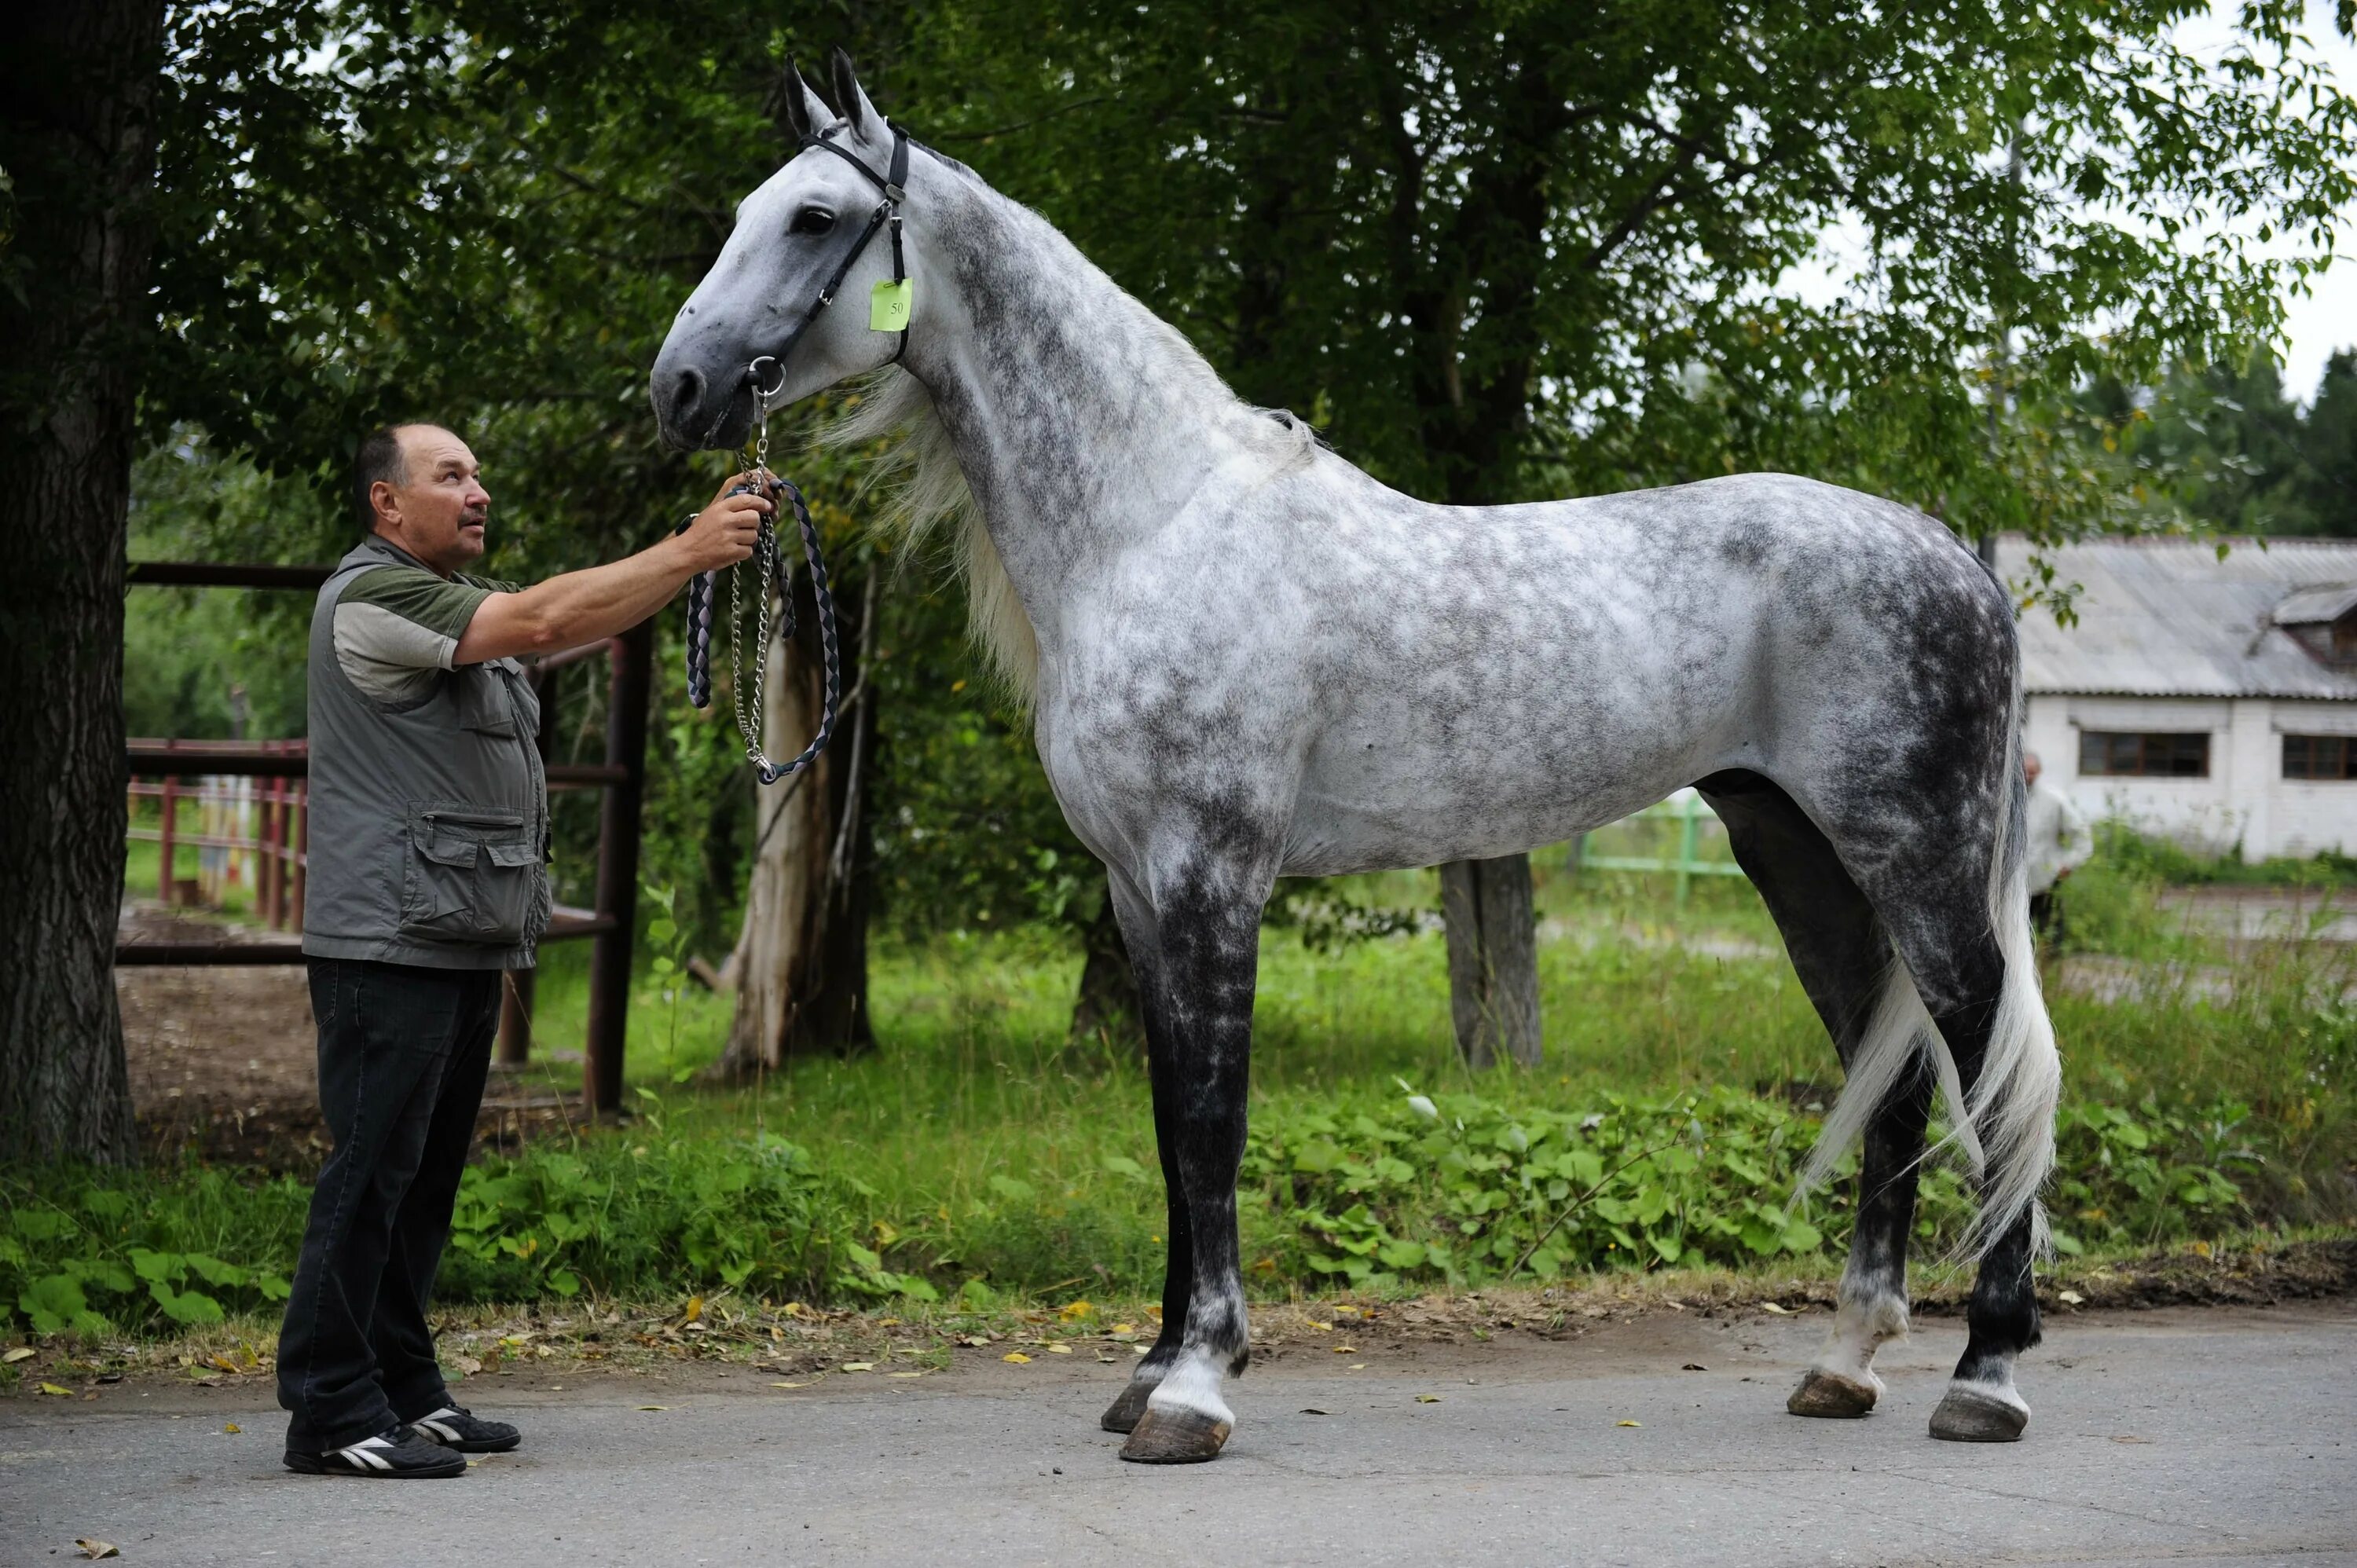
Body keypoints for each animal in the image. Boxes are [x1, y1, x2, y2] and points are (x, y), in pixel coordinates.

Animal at [655, 52, 2055, 1471]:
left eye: (815, 217)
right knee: (1892, 1085)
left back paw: (1987, 1377)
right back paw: (1844, 1363)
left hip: (1917, 863)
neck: (1155, 525)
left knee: (1987, 1071)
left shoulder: (1212, 872)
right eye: (746, 209)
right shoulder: (1135, 890)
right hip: (1795, 853)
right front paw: (1149, 1370)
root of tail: (1954, 558)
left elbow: (1213, 1121)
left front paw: (1194, 1388)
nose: (678, 390)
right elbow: (1170, 1121)